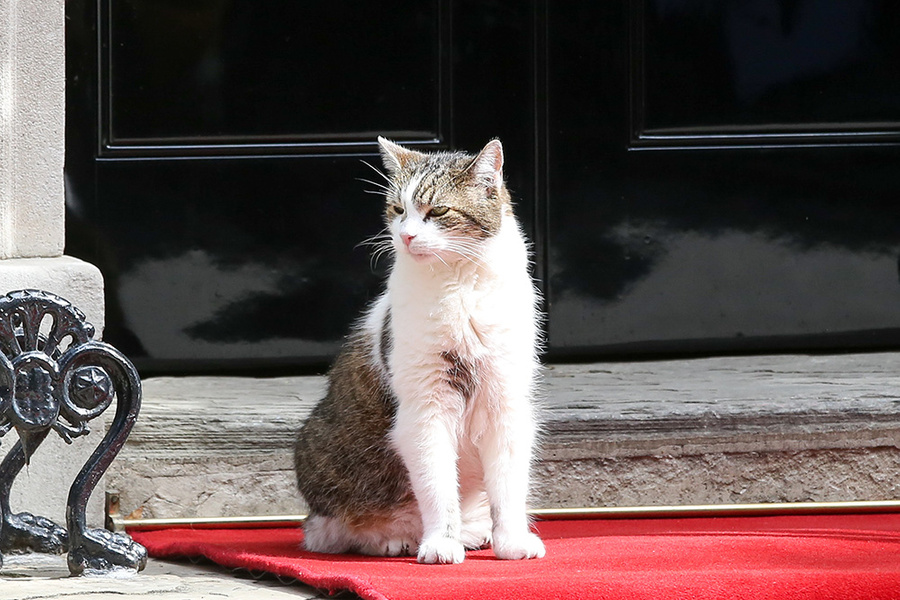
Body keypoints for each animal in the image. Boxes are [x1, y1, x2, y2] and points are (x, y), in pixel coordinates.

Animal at [296, 136, 544, 564]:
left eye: (438, 210)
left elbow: (509, 484)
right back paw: (395, 539)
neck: (459, 283)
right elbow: (436, 483)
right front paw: (441, 543)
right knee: (334, 531)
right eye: (398, 209)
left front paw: (512, 540)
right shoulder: (426, 406)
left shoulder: (506, 401)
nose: (406, 236)